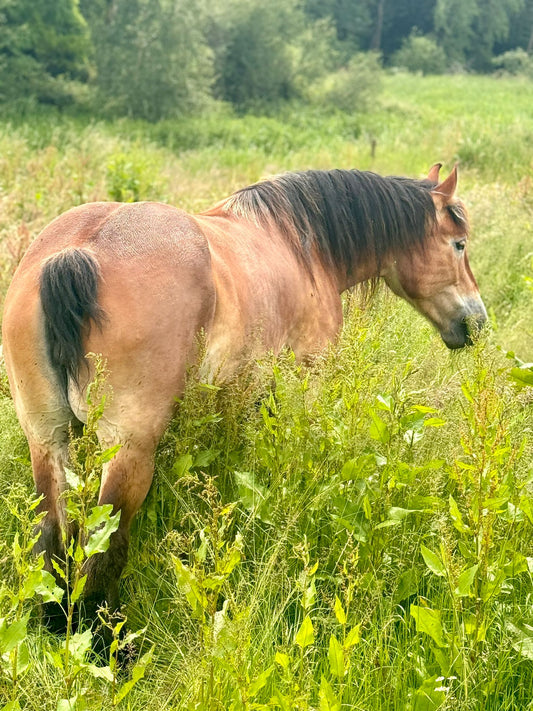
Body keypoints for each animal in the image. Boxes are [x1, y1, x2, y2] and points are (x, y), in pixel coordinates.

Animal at [1, 161, 486, 628]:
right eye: (459, 244)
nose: (477, 323)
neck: (302, 247)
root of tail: (78, 251)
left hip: (47, 438)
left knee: (51, 534)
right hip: (129, 450)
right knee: (102, 553)